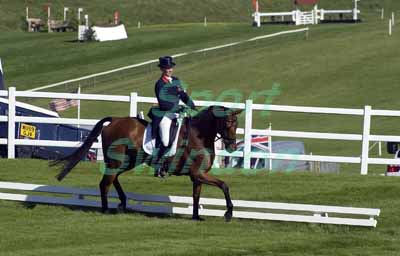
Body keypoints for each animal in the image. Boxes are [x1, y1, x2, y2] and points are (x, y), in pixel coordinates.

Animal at [51, 105, 242, 221]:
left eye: (236, 124)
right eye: (228, 123)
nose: (232, 146)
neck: (198, 135)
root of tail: (115, 120)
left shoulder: (197, 176)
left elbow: (196, 195)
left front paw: (196, 217)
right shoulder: (198, 173)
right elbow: (224, 185)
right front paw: (228, 212)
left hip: (128, 161)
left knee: (113, 179)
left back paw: (123, 203)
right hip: (117, 161)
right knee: (105, 182)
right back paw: (105, 209)